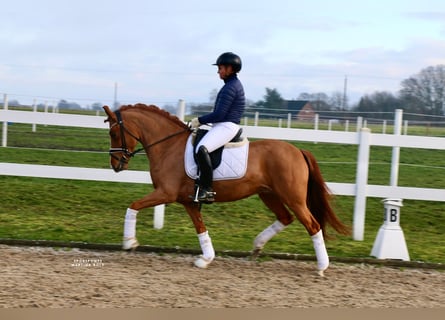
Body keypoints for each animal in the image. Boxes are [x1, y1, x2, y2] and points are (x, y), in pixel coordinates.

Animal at [102, 104, 348, 276]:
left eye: (113, 134)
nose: (116, 165)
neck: (168, 146)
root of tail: (298, 150)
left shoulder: (166, 193)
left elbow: (133, 206)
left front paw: (129, 242)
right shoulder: (188, 200)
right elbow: (200, 228)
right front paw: (206, 259)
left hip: (293, 198)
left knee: (312, 225)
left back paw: (321, 266)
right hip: (268, 194)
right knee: (285, 218)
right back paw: (257, 246)